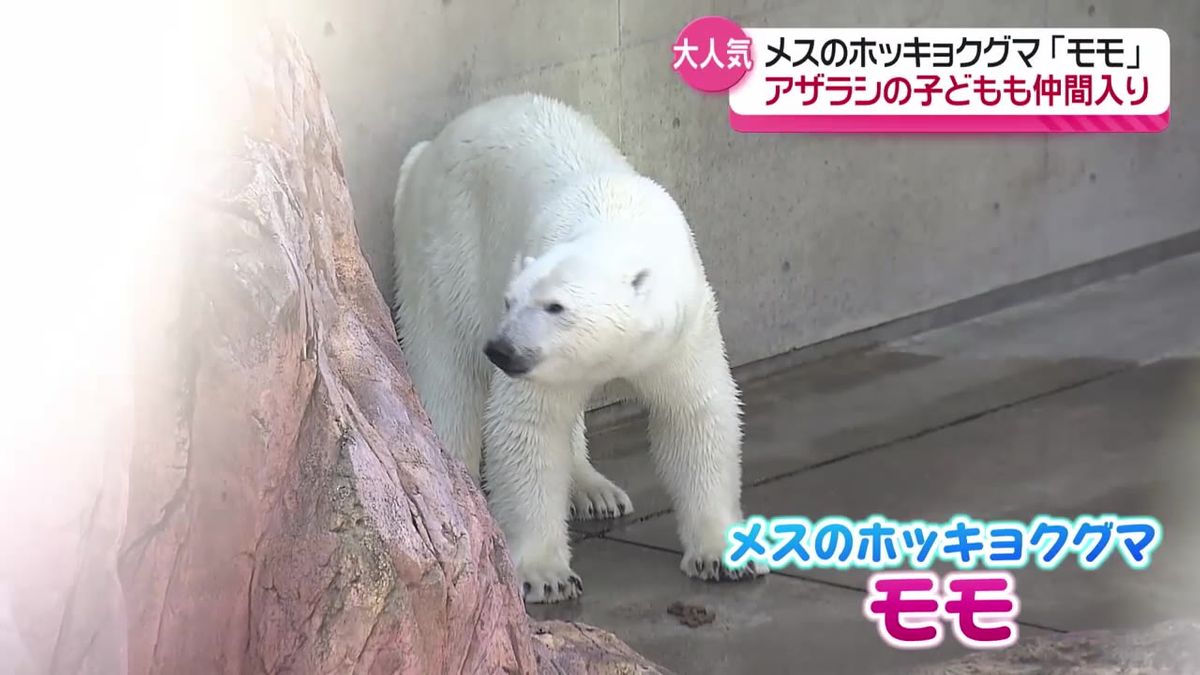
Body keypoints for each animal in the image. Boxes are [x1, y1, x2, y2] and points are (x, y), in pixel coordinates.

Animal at [393, 91, 768, 600]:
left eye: (556, 306)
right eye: (511, 301)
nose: (503, 351)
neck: (614, 220)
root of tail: (426, 150)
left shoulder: (684, 329)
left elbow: (695, 414)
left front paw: (724, 556)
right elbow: (528, 427)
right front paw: (545, 576)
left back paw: (596, 491)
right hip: (446, 252)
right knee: (447, 374)